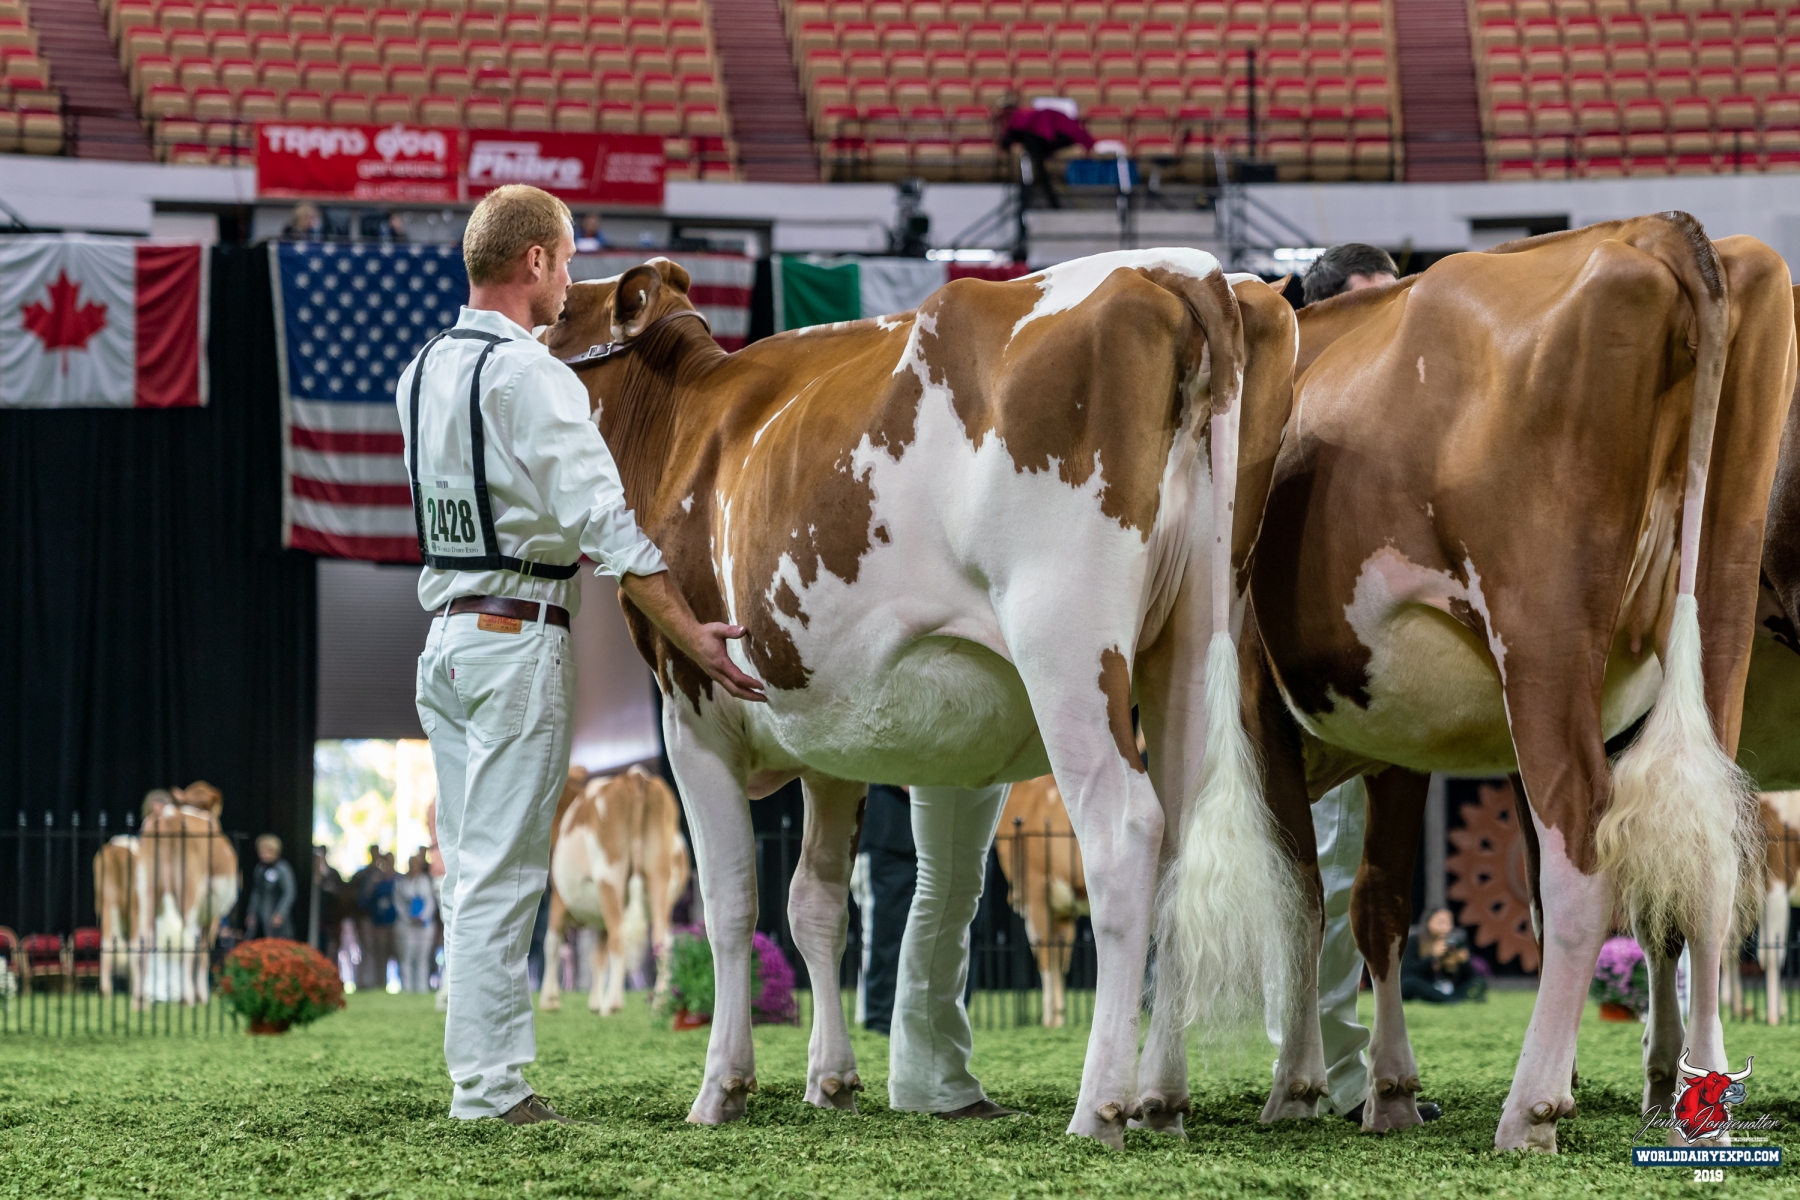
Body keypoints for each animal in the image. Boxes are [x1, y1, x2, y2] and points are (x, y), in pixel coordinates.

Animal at [133, 797, 240, 1007]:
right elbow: (204, 952)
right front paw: (203, 996)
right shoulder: (212, 915)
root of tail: (168, 815)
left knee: (144, 938)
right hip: (190, 890)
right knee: (187, 941)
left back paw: (140, 1000)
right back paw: (188, 997)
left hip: (146, 889)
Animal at [540, 764, 691, 1014]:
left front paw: (549, 1000)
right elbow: (597, 956)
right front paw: (594, 1001)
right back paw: (659, 1003)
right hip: (659, 875)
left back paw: (612, 1004)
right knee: (661, 941)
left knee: (619, 937)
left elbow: (551, 945)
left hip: (609, 876)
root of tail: (634, 776)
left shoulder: (559, 899)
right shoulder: (599, 920)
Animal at [995, 775, 1088, 1028]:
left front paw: (1050, 1021)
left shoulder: (1035, 890)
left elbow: (1044, 952)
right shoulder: (1062, 909)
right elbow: (1060, 956)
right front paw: (1060, 1015)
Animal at [1185, 216, 1794, 1152]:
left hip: (1541, 634)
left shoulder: (1259, 701)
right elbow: (1379, 901)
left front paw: (1296, 1087)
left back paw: (1532, 1106)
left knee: (1582, 855)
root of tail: (1651, 230)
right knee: (1710, 856)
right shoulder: (1397, 734)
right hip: (1719, 601)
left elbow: (1302, 896)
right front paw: (1391, 1092)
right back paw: (1701, 1104)